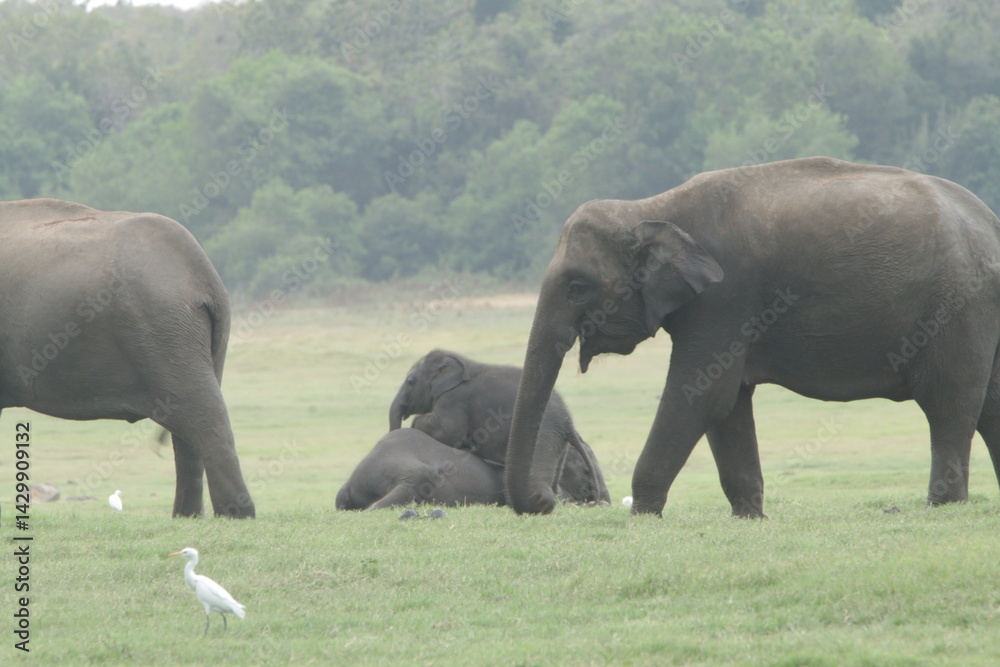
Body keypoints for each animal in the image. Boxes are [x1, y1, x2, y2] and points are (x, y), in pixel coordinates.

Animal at [0, 198, 253, 518]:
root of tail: (204, 277)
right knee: (190, 425)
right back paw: (187, 517)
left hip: (160, 328)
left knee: (204, 415)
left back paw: (235, 516)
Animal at [389, 349, 609, 504]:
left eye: (410, 381)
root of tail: (568, 422)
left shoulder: (455, 399)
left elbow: (446, 430)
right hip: (558, 442)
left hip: (543, 433)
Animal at [504, 156, 1000, 517]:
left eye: (577, 286)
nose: (547, 502)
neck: (651, 208)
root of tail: (990, 221)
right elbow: (728, 402)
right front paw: (749, 517)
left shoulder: (725, 298)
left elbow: (700, 395)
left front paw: (643, 515)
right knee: (989, 405)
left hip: (959, 308)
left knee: (949, 401)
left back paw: (942, 507)